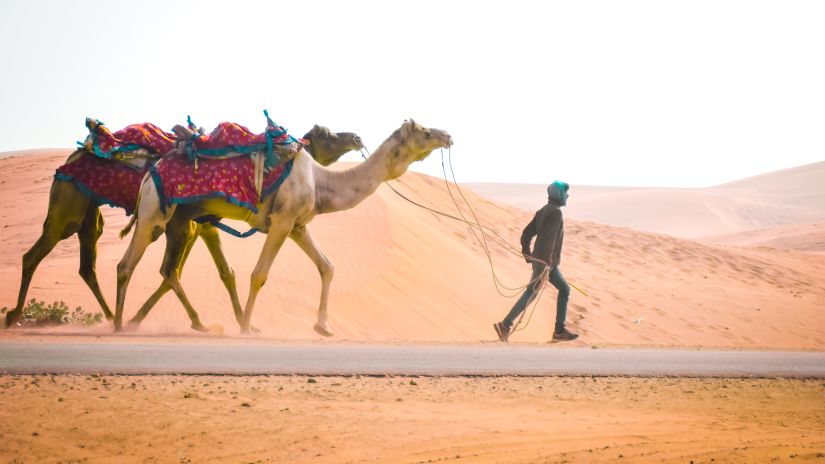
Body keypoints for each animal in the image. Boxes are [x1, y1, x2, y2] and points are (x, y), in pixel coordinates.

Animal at [4, 126, 360, 330]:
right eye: (327, 134)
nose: (356, 137)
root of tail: (68, 161)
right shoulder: (195, 224)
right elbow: (191, 271)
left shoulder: (195, 224)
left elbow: (206, 271)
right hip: (68, 208)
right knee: (34, 255)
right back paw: (14, 316)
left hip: (89, 215)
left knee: (86, 266)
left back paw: (108, 316)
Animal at [115, 119, 450, 336]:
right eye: (423, 131)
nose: (447, 134)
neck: (322, 181)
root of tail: (150, 172)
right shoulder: (282, 221)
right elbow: (259, 274)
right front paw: (247, 327)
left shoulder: (298, 226)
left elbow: (327, 266)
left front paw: (323, 326)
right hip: (154, 213)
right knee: (127, 264)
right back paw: (119, 325)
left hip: (180, 219)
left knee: (167, 269)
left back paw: (185, 323)